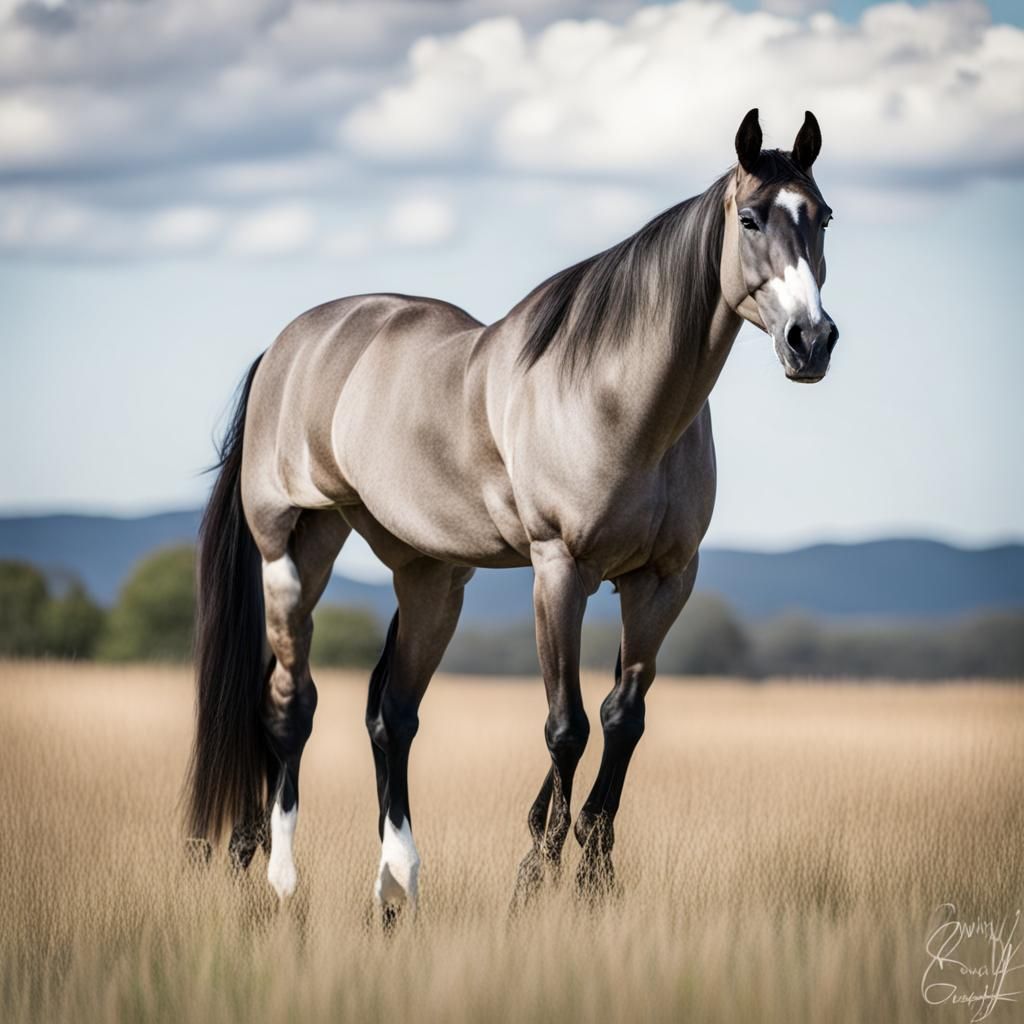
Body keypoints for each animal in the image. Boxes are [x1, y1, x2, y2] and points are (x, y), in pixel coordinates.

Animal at [184, 108, 839, 920]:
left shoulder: (663, 581)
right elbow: (567, 727)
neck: (618, 398)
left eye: (823, 217)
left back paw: (394, 883)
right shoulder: (559, 570)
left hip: (429, 576)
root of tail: (286, 347)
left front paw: (594, 870)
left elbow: (623, 719)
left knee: (390, 716)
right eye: (749, 218)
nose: (811, 341)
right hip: (294, 546)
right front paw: (537, 872)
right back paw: (277, 876)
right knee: (286, 703)